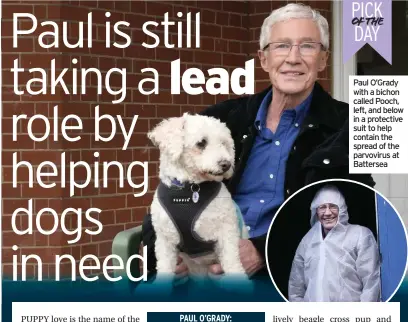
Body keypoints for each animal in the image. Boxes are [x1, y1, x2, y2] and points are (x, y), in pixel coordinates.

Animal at [147, 113, 249, 290]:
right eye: (201, 143)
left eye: (223, 143)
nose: (226, 164)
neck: (190, 189)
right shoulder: (165, 240)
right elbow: (165, 268)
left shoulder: (227, 231)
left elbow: (232, 261)